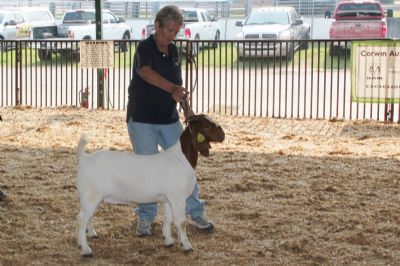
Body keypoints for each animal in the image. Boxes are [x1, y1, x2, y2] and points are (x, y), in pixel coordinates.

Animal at [76, 114, 225, 256]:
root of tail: (85, 159)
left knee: (88, 216)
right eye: (206, 126)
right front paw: (186, 246)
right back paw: (86, 249)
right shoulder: (178, 198)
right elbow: (181, 222)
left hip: (93, 196)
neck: (181, 159)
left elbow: (168, 219)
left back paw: (91, 234)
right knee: (81, 219)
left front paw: (168, 240)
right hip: (91, 195)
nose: (223, 135)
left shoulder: (167, 199)